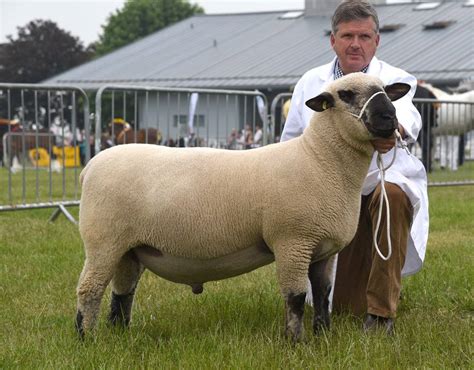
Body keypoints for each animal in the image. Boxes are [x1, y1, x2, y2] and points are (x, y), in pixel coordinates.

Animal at [76, 73, 410, 344]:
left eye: (385, 90)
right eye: (346, 94)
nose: (389, 117)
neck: (320, 161)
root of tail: (90, 166)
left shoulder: (324, 248)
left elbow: (322, 294)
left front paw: (323, 337)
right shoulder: (293, 241)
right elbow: (296, 297)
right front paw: (296, 342)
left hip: (130, 248)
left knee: (122, 293)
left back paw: (120, 333)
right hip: (103, 240)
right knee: (89, 290)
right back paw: (86, 339)